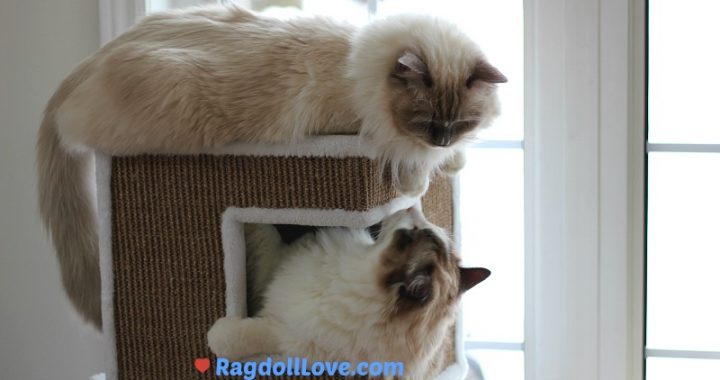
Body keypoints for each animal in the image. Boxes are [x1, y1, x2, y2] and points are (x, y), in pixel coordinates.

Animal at [36, 4, 504, 328]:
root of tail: (87, 65)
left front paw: (454, 159)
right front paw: (421, 175)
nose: (442, 139)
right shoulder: (361, 127)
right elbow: (405, 166)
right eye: (426, 122)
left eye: (460, 123)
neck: (359, 66)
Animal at [205, 208, 492, 380]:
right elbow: (262, 233)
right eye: (424, 228)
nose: (411, 206)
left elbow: (237, 337)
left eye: (410, 235)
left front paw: (216, 335)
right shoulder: (278, 265)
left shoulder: (283, 337)